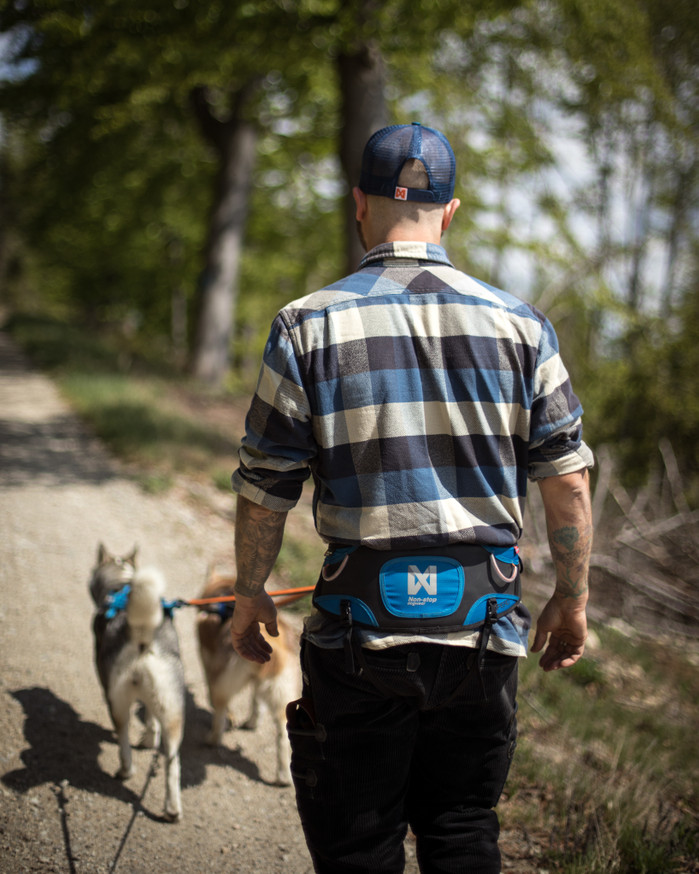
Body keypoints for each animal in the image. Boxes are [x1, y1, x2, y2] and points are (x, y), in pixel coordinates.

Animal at [196, 572, 302, 784]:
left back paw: (212, 739)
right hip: (282, 690)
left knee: (219, 711)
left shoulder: (208, 661)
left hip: (225, 681)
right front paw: (253, 721)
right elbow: (256, 701)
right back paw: (283, 776)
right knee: (282, 733)